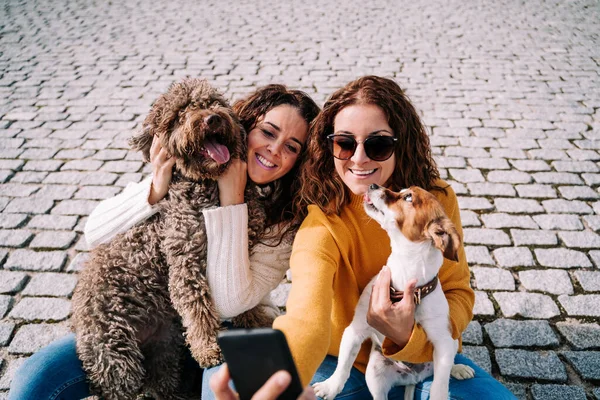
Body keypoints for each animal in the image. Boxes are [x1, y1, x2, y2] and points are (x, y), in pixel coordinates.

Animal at [72, 78, 272, 400]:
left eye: (213, 102)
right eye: (179, 116)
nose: (211, 118)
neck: (209, 188)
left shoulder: (246, 243)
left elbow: (245, 295)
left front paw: (252, 320)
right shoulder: (186, 262)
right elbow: (198, 308)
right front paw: (208, 348)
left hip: (164, 344)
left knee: (161, 380)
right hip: (115, 353)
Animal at [314, 184, 474, 400]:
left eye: (408, 197)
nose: (373, 185)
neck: (407, 284)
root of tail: (413, 378)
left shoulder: (442, 343)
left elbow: (439, 385)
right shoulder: (355, 330)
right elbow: (343, 364)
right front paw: (330, 386)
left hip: (449, 342)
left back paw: (458, 368)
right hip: (375, 373)